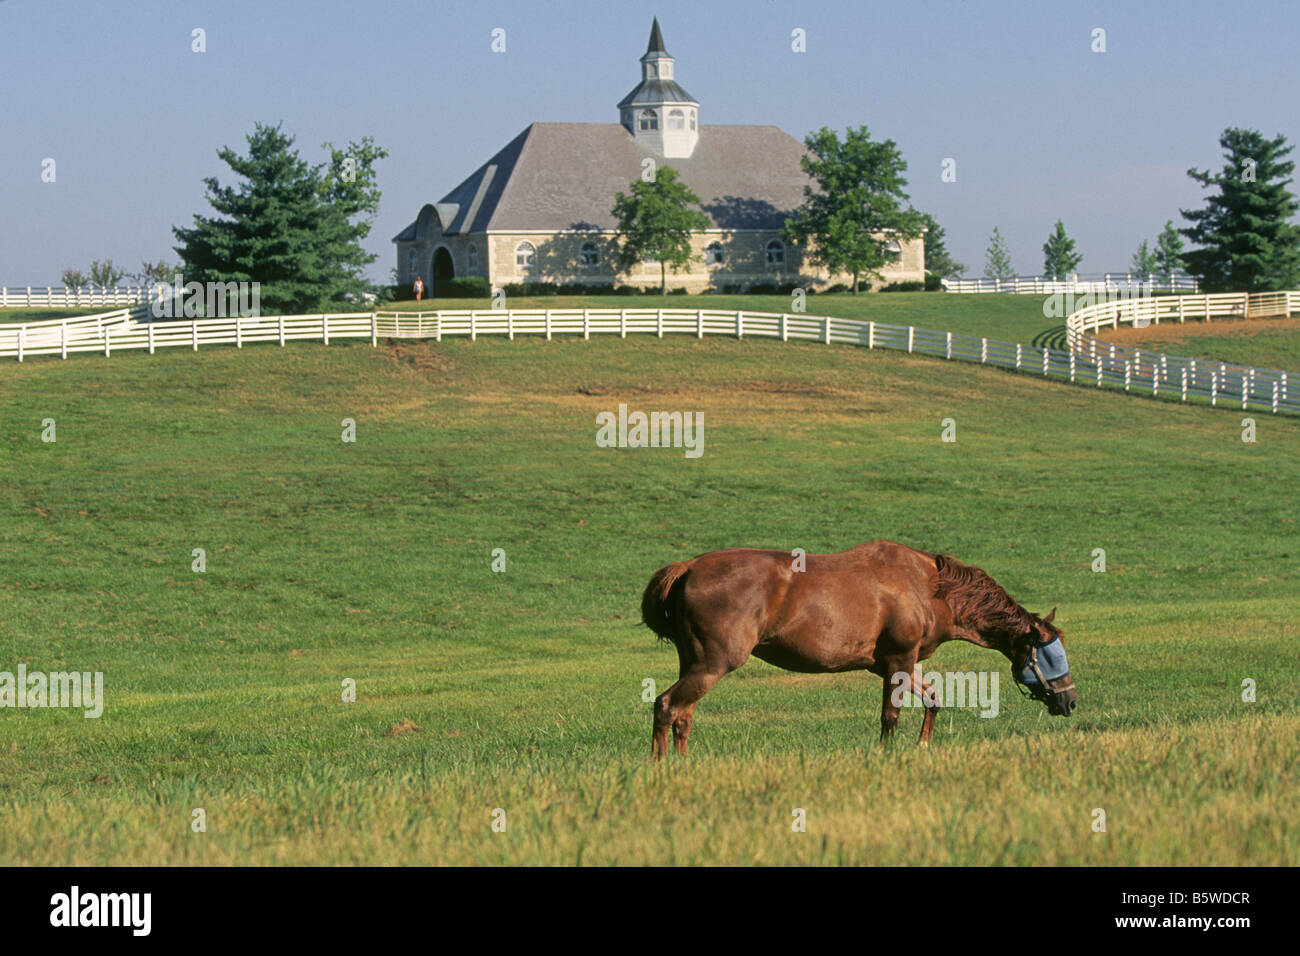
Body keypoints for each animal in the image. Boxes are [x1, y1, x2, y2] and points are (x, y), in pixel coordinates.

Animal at [639, 539, 1076, 759]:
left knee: (683, 717)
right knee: (667, 706)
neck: (927, 587)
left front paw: (922, 747)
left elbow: (933, 698)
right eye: (1050, 655)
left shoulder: (896, 665)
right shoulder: (899, 661)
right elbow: (890, 717)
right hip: (712, 664)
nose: (1070, 702)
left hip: (694, 663)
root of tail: (689, 567)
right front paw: (887, 755)